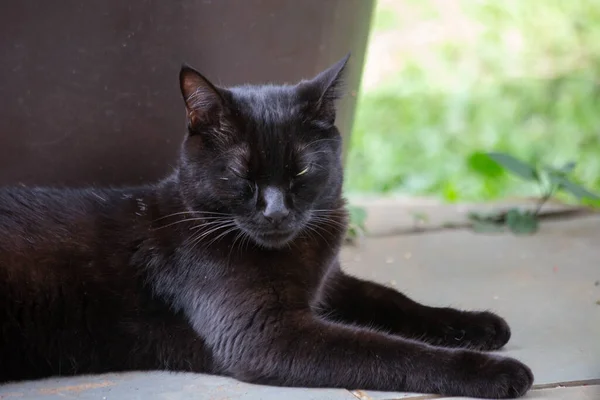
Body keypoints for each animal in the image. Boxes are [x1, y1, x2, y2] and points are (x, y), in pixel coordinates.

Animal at [0, 54, 536, 398]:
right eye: (242, 176)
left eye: (300, 171)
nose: (275, 212)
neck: (299, 253)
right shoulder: (269, 335)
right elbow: (390, 351)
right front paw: (495, 371)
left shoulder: (329, 284)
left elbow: (393, 299)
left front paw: (476, 324)